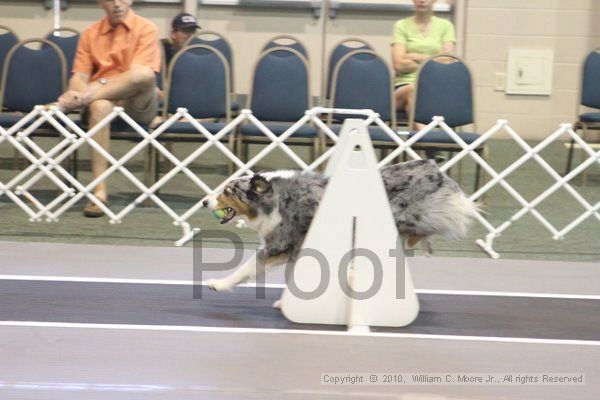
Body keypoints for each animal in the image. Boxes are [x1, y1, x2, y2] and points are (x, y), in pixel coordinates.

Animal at [204, 160, 476, 294]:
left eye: (227, 191)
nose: (205, 201)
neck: (275, 199)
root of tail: (435, 170)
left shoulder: (278, 244)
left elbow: (245, 268)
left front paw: (219, 284)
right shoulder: (293, 249)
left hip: (407, 214)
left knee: (431, 224)